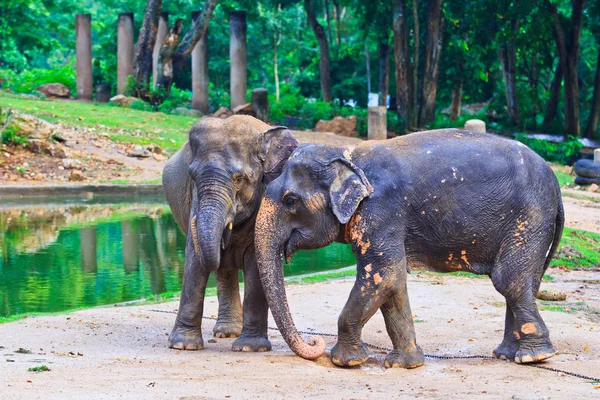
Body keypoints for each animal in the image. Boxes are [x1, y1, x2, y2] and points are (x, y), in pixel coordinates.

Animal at [162, 114, 298, 352]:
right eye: (192, 176)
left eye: (239, 179)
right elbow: (194, 259)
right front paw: (183, 346)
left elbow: (256, 262)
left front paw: (249, 348)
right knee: (224, 270)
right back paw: (227, 332)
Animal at [255, 129, 564, 368]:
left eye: (291, 200)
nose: (314, 341)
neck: (346, 153)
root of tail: (555, 180)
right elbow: (394, 282)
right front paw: (405, 364)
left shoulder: (380, 210)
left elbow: (384, 275)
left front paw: (346, 362)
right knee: (522, 283)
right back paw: (507, 354)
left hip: (529, 216)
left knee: (509, 280)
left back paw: (534, 357)